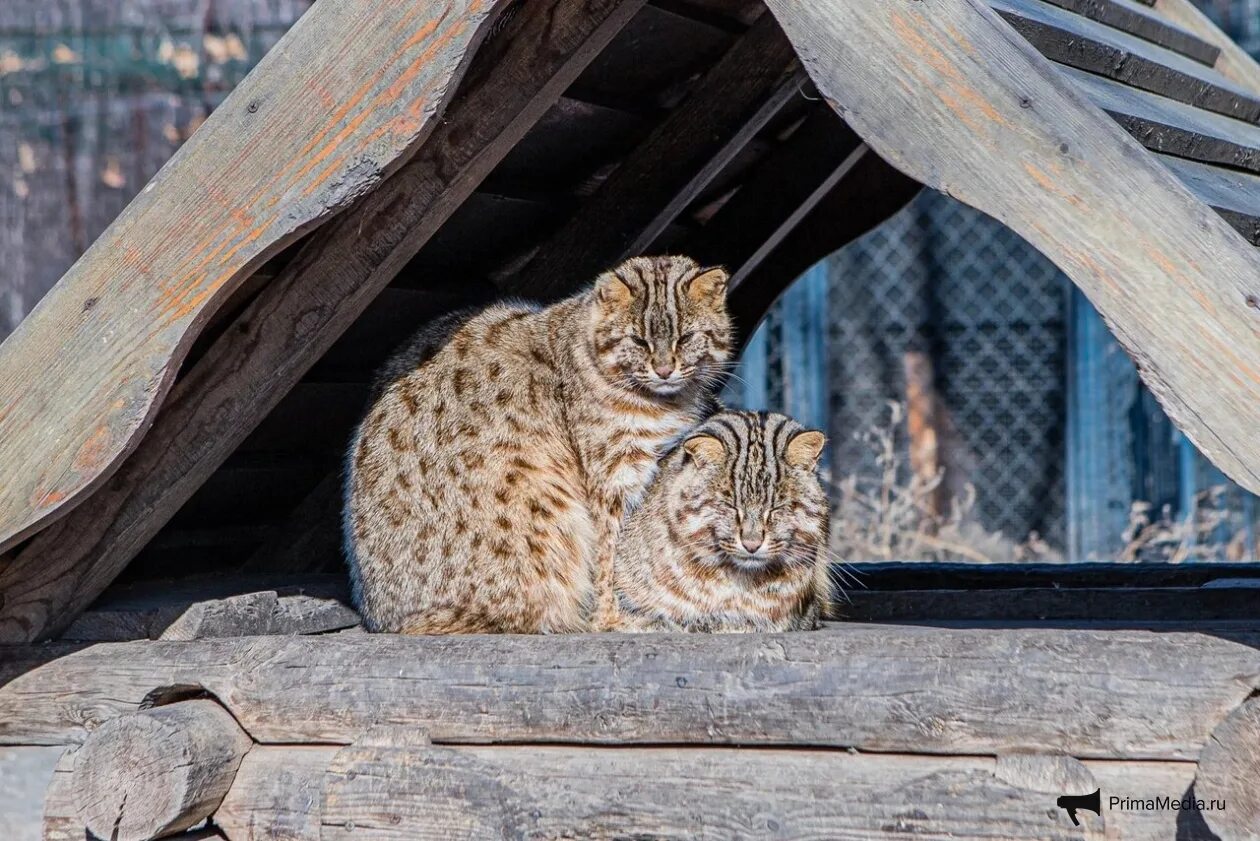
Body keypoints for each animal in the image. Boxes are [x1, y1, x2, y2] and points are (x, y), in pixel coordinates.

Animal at [347, 253, 735, 635]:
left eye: (686, 338)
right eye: (638, 341)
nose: (664, 370)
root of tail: (386, 619)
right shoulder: (610, 477)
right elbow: (608, 553)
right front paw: (610, 618)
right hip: (533, 496)